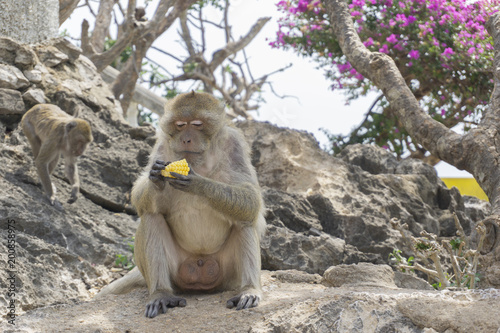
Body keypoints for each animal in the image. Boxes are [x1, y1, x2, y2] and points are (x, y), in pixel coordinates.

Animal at [94, 91, 266, 316]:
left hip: (228, 275)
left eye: (197, 124)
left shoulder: (235, 145)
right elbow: (140, 196)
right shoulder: (161, 145)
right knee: (151, 217)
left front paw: (198, 183)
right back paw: (161, 294)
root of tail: (200, 264)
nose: (186, 139)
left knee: (244, 220)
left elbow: (251, 199)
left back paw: (249, 290)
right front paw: (155, 178)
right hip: (177, 272)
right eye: (180, 125)